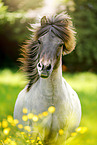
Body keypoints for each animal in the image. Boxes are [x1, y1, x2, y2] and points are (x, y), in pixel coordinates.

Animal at [13, 13, 81, 144]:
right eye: (40, 41)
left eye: (60, 44)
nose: (44, 67)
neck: (51, 100)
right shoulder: (35, 134)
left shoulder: (60, 137)